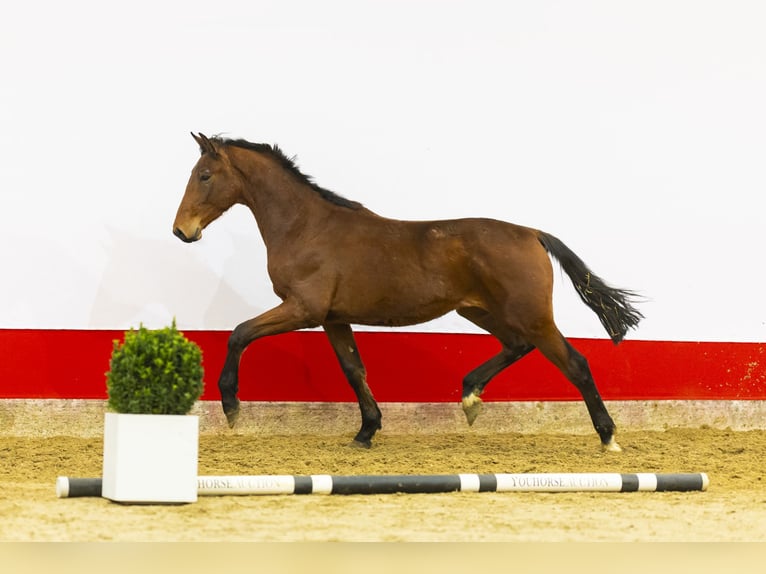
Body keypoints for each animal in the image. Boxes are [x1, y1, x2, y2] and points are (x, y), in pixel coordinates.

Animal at [172, 133, 640, 452]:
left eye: (205, 175)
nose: (182, 231)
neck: (307, 227)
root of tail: (533, 233)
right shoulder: (333, 318)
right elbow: (354, 370)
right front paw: (366, 431)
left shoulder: (303, 309)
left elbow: (239, 333)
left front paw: (232, 407)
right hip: (481, 311)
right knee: (517, 345)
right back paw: (470, 397)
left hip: (531, 315)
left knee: (575, 363)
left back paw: (607, 437)